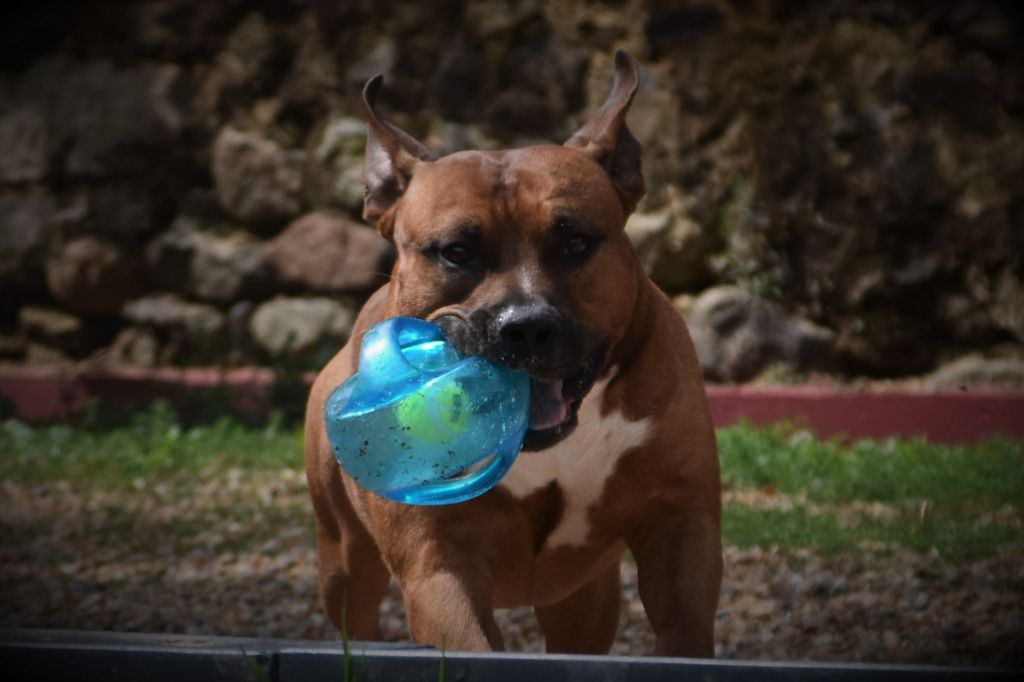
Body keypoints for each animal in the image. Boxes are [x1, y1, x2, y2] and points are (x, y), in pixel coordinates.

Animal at [303, 50, 720, 655]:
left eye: (576, 242)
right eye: (456, 252)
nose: (524, 327)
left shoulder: (680, 518)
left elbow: (685, 620)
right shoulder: (439, 562)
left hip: (583, 598)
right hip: (344, 562)